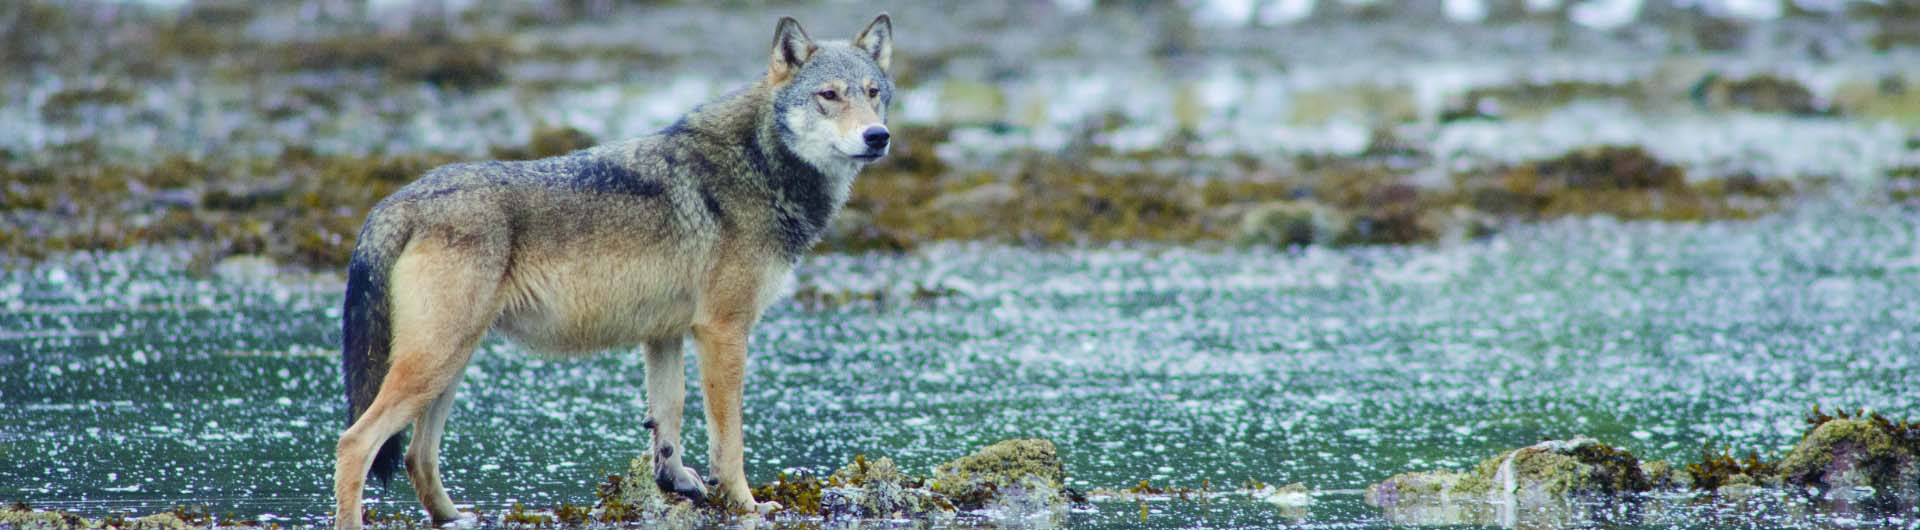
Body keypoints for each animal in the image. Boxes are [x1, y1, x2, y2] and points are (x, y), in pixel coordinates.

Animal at [331, 14, 894, 529]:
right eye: (828, 95)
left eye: (873, 93)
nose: (878, 136)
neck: (759, 162)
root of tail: (396, 201)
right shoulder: (723, 331)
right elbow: (728, 438)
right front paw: (745, 504)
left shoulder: (665, 334)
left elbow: (668, 419)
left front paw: (675, 482)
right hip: (435, 363)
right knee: (355, 442)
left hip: (450, 365)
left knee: (416, 455)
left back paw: (456, 517)